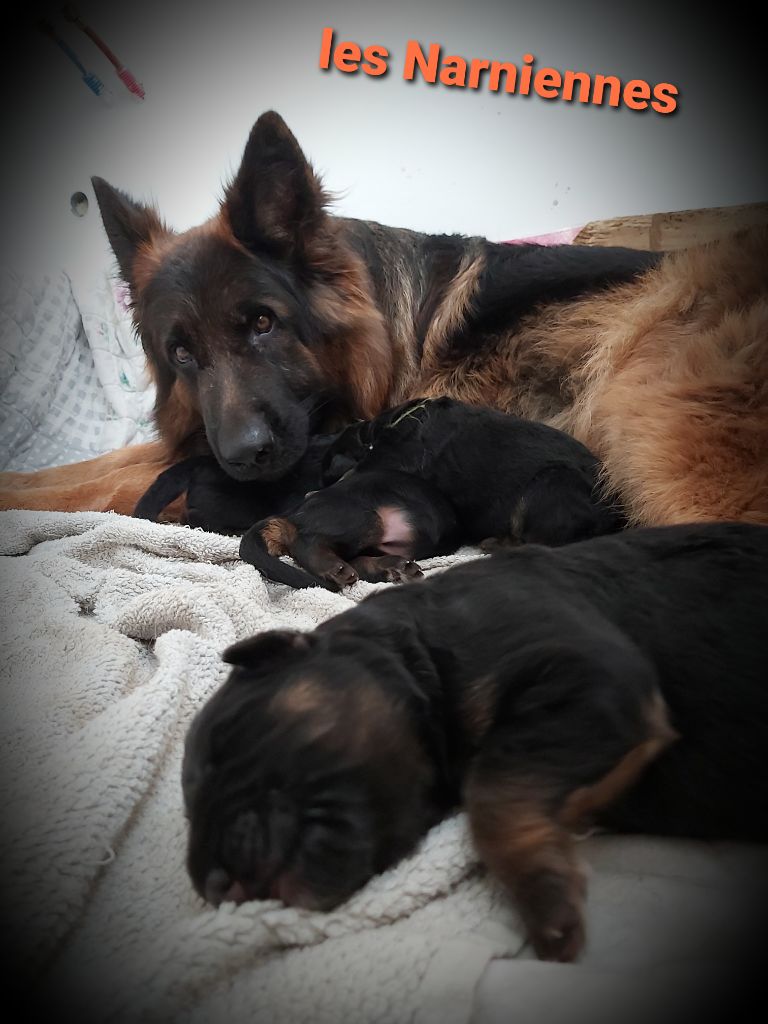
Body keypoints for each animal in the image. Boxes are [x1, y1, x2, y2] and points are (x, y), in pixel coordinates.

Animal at [1, 114, 768, 520]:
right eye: (182, 354)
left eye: (263, 324)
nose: (247, 458)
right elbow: (94, 464)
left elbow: (107, 481)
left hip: (650, 419)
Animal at [182, 524, 768, 962]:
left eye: (223, 746)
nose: (213, 886)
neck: (421, 650)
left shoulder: (590, 677)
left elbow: (493, 787)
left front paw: (544, 897)